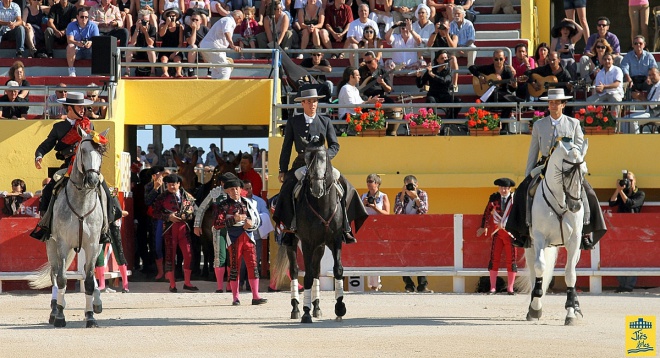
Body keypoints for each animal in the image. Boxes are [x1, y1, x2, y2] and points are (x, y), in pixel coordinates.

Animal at [30, 127, 108, 328]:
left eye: (101, 152)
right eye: (83, 150)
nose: (92, 180)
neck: (81, 202)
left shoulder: (93, 245)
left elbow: (89, 280)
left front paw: (90, 316)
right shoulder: (63, 244)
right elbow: (62, 278)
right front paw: (60, 316)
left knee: (88, 274)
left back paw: (96, 303)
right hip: (51, 246)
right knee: (55, 274)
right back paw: (54, 309)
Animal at [524, 138, 588, 328]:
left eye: (584, 172)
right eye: (565, 173)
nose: (575, 206)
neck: (560, 202)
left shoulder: (574, 241)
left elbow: (570, 274)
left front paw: (571, 312)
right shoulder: (539, 237)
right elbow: (540, 267)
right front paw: (535, 308)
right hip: (530, 245)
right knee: (533, 270)